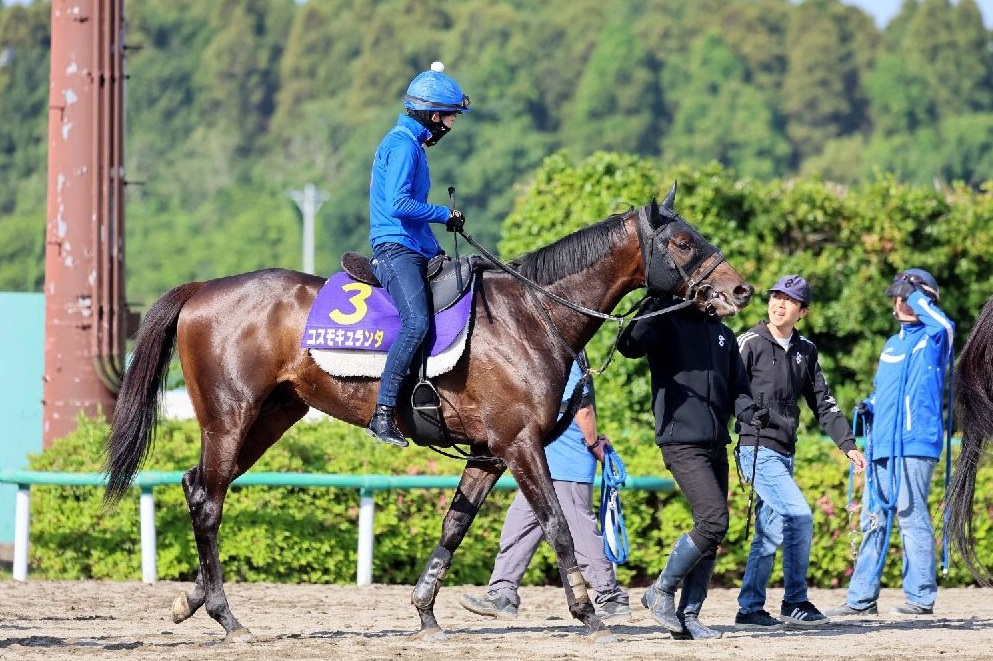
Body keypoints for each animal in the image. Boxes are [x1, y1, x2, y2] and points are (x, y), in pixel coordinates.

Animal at [102, 183, 752, 640]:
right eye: (683, 242)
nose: (740, 291)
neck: (532, 313)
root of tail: (202, 289)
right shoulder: (520, 445)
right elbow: (557, 525)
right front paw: (586, 612)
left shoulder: (490, 454)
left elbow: (454, 527)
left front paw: (425, 611)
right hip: (231, 417)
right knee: (209, 500)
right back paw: (224, 614)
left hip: (270, 418)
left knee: (198, 486)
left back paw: (193, 599)